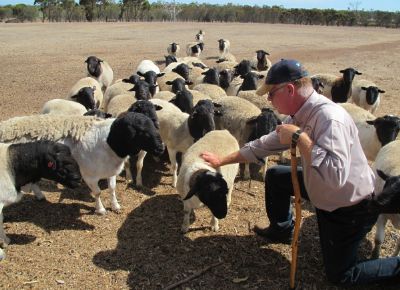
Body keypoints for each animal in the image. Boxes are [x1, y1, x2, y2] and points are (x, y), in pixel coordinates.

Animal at [0, 113, 164, 215]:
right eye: (139, 130)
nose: (161, 148)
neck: (107, 142)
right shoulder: (89, 176)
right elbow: (97, 192)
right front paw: (101, 209)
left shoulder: (110, 170)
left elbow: (112, 189)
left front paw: (116, 206)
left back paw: (40, 196)